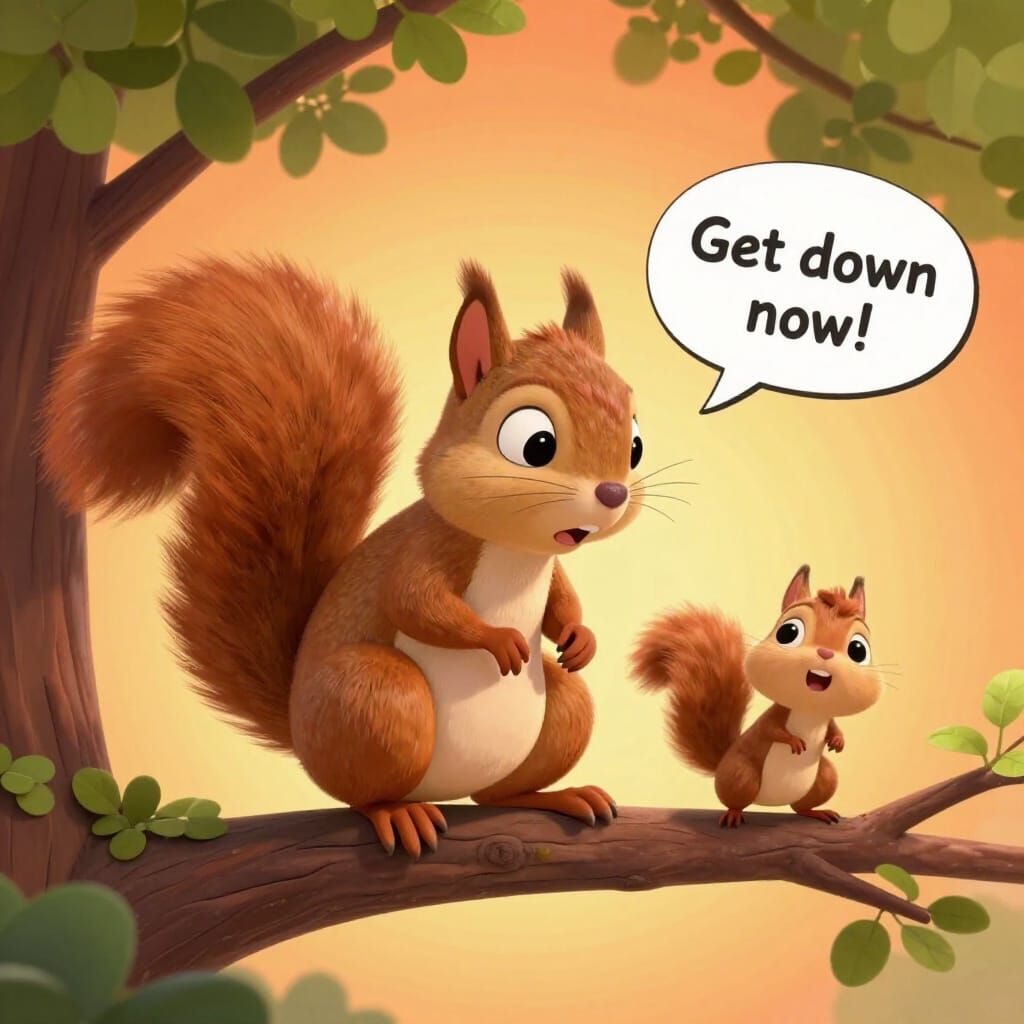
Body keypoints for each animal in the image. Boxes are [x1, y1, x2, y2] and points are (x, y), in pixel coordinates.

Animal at [43, 255, 645, 857]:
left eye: (636, 442)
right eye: (534, 443)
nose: (612, 493)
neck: (517, 552)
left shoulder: (548, 568)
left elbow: (561, 602)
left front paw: (581, 638)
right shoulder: (425, 547)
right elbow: (415, 602)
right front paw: (496, 639)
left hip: (555, 711)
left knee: (499, 790)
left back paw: (557, 795)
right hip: (378, 701)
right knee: (365, 793)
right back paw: (397, 813)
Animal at [631, 565, 881, 828]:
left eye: (858, 650)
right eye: (788, 632)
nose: (825, 653)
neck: (809, 710)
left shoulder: (826, 719)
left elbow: (834, 727)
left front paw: (838, 741)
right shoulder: (772, 716)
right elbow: (770, 730)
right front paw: (793, 740)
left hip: (825, 777)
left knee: (800, 806)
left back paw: (816, 812)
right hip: (741, 774)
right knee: (736, 800)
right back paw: (733, 813)